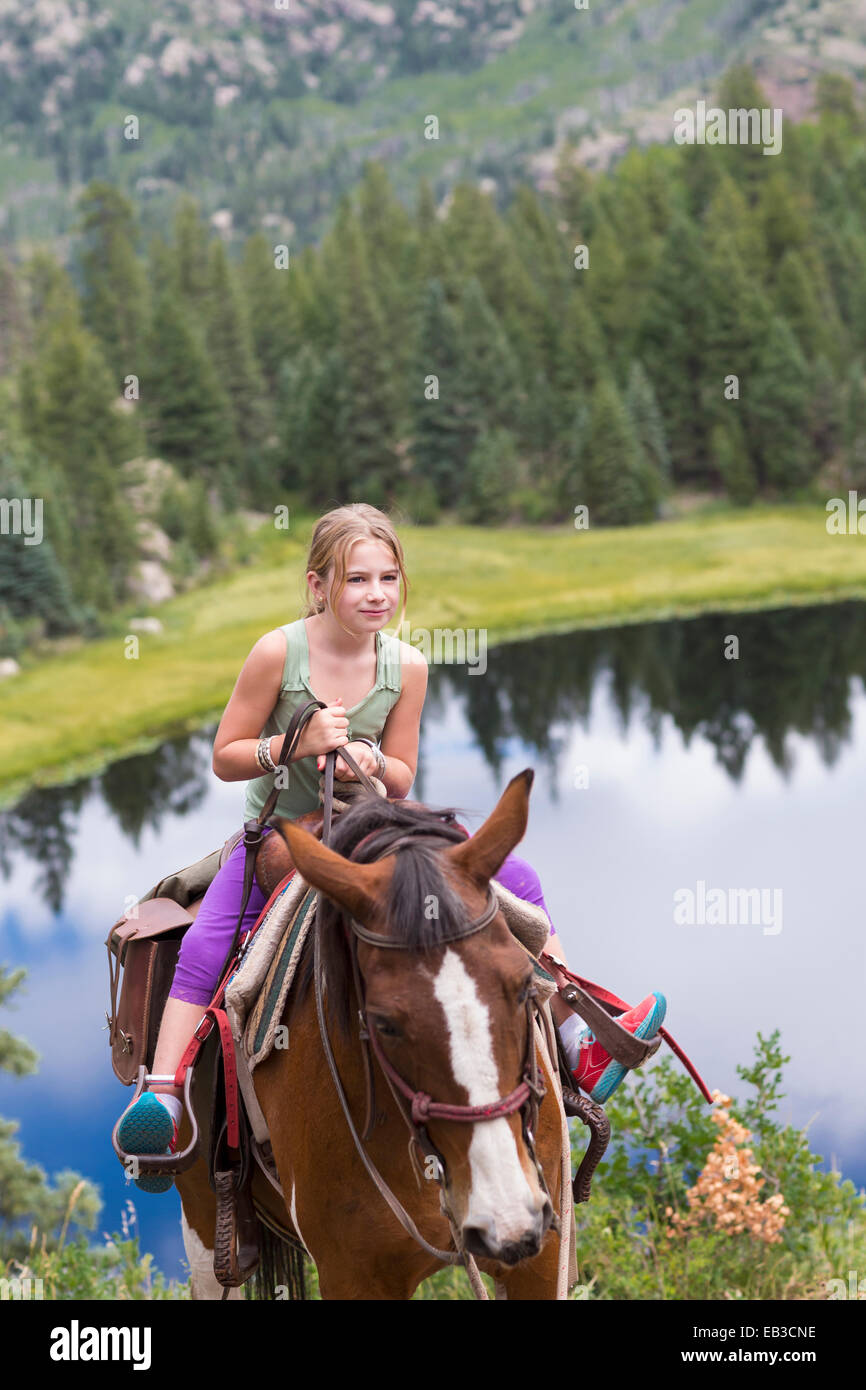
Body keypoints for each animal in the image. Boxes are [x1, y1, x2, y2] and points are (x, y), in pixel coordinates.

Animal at [175, 772, 569, 1301]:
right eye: (383, 1023)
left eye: (526, 985)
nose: (502, 1214)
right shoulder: (351, 1275)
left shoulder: (540, 1256)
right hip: (204, 1222)